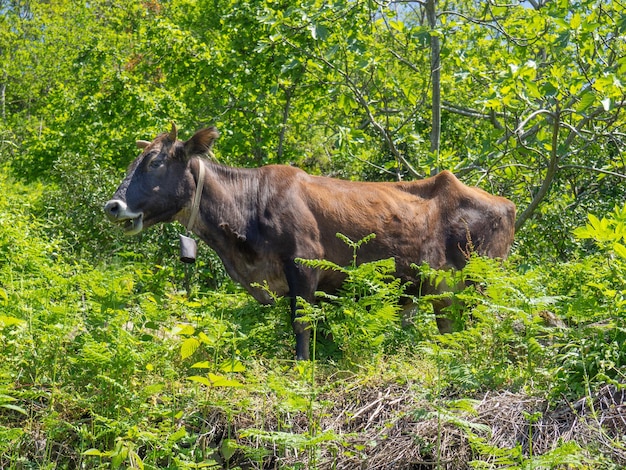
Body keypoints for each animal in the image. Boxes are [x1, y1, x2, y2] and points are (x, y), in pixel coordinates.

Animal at [103, 124, 512, 360]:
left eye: (155, 162)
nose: (112, 205)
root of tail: (503, 203)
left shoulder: (304, 264)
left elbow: (301, 325)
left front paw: (301, 366)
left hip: (480, 280)